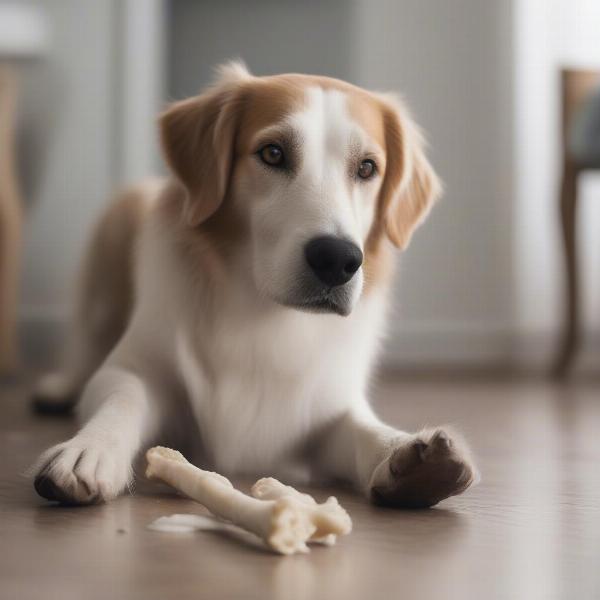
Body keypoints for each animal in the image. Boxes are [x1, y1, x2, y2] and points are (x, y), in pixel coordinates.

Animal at [31, 63, 478, 508]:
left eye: (367, 168)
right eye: (273, 153)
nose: (338, 260)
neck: (265, 314)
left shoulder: (322, 411)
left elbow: (360, 428)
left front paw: (406, 455)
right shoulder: (133, 367)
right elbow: (121, 399)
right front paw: (89, 451)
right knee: (85, 342)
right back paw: (58, 387)